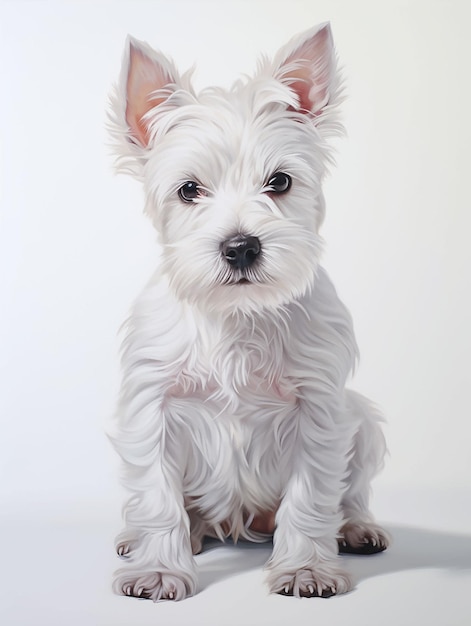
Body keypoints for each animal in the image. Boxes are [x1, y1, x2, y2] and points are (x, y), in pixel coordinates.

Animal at [109, 23, 390, 600]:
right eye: (189, 190)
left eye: (279, 182)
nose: (240, 247)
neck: (239, 313)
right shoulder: (153, 407)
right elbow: (157, 497)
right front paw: (160, 568)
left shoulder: (318, 412)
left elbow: (311, 498)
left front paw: (306, 569)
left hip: (362, 421)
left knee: (350, 494)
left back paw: (356, 528)